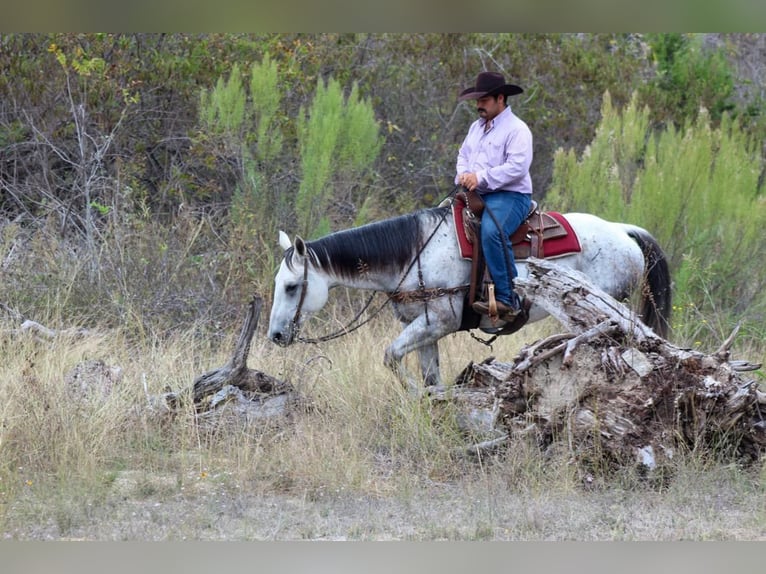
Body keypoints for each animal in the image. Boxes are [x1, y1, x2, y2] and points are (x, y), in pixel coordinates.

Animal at [267, 204, 672, 390]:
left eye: (292, 286)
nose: (275, 336)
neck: (414, 252)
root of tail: (622, 230)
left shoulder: (439, 321)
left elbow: (390, 356)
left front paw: (413, 393)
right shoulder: (424, 327)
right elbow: (429, 375)